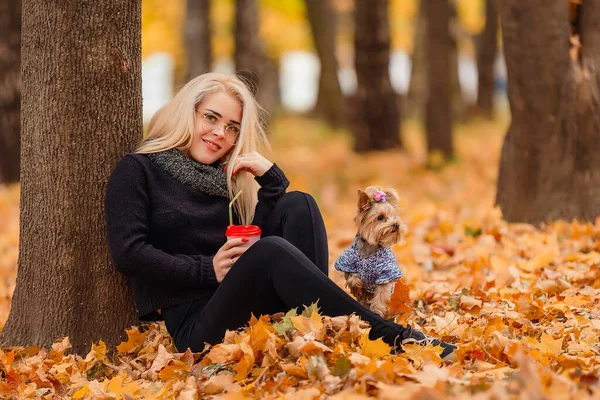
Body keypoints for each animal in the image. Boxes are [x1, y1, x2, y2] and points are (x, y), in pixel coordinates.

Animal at [336, 187, 406, 318]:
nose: (396, 225)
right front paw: (358, 288)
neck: (371, 246)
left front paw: (377, 311)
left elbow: (380, 296)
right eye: (380, 217)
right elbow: (353, 278)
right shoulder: (347, 263)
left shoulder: (386, 274)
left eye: (394, 216)